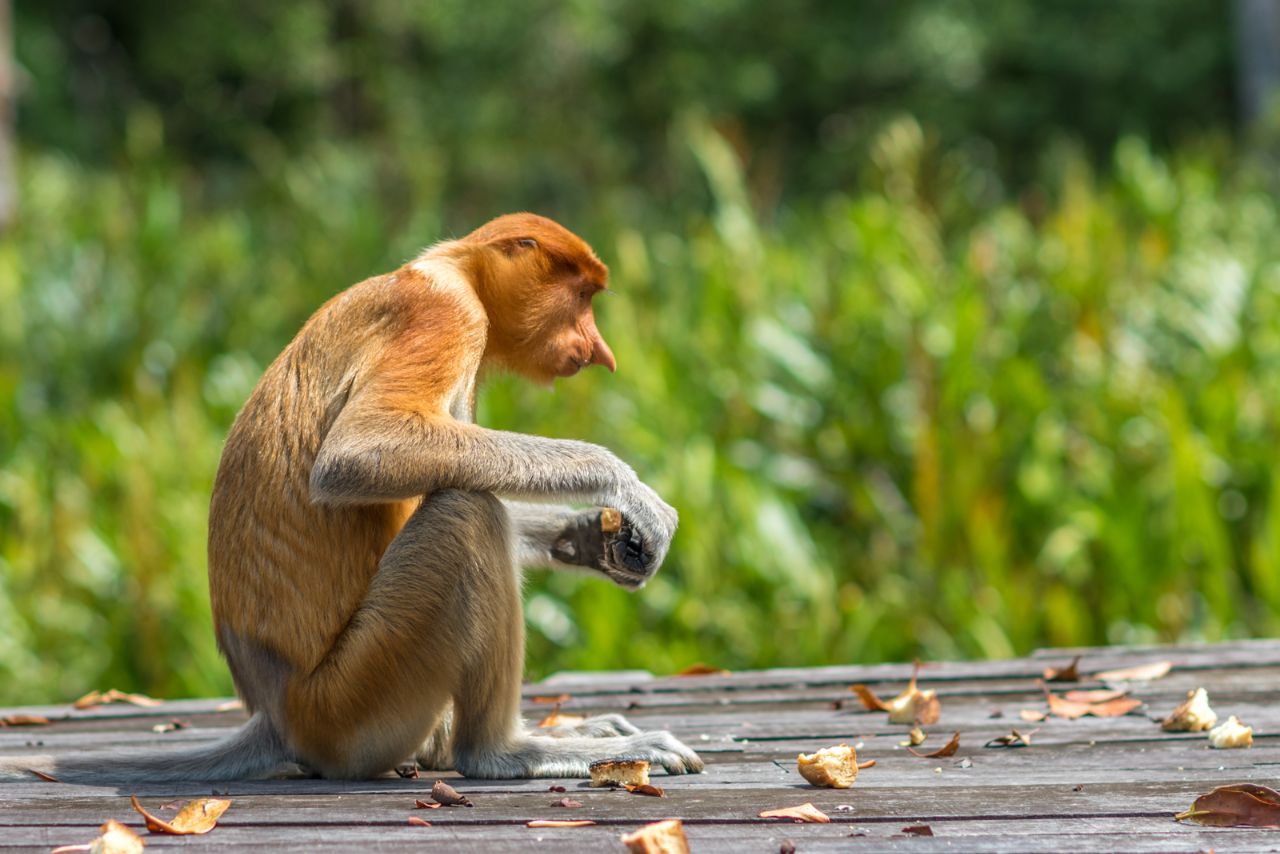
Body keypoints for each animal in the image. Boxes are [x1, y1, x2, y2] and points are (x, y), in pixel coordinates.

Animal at [0, 212, 701, 783]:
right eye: (581, 297)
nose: (601, 351)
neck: (456, 271)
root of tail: (279, 713)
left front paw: (598, 539)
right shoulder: (444, 316)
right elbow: (359, 453)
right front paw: (626, 487)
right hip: (358, 700)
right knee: (466, 512)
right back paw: (505, 752)